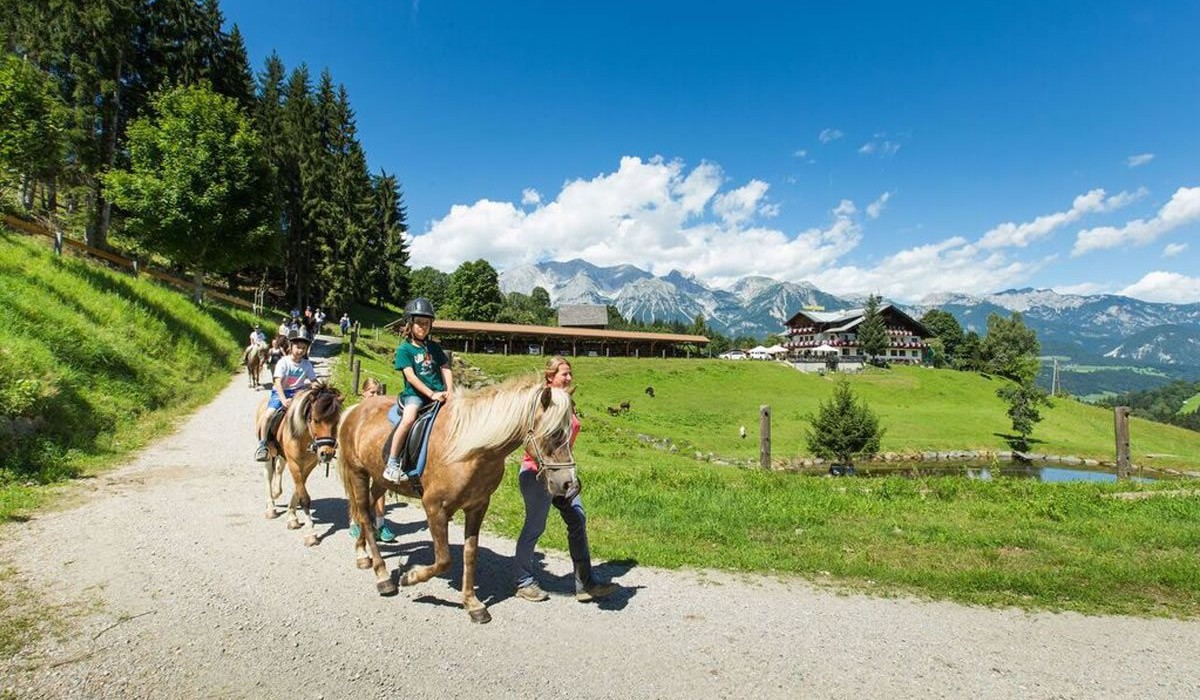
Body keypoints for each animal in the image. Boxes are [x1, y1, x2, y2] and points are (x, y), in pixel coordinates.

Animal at [255, 377, 345, 547]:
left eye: (336, 421)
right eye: (315, 420)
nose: (327, 453)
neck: (303, 437)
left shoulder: (307, 466)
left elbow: (298, 489)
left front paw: (292, 518)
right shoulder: (294, 464)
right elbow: (303, 497)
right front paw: (310, 534)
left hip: (281, 455)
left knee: (278, 469)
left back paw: (277, 492)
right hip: (269, 452)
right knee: (268, 475)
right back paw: (271, 508)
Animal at [338, 374, 580, 629]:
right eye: (554, 434)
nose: (569, 485)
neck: (469, 449)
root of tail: (356, 409)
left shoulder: (477, 507)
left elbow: (470, 555)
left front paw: (472, 604)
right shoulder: (434, 507)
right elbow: (444, 559)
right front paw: (410, 577)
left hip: (379, 479)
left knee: (365, 509)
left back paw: (362, 555)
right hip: (358, 473)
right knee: (365, 515)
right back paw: (383, 576)